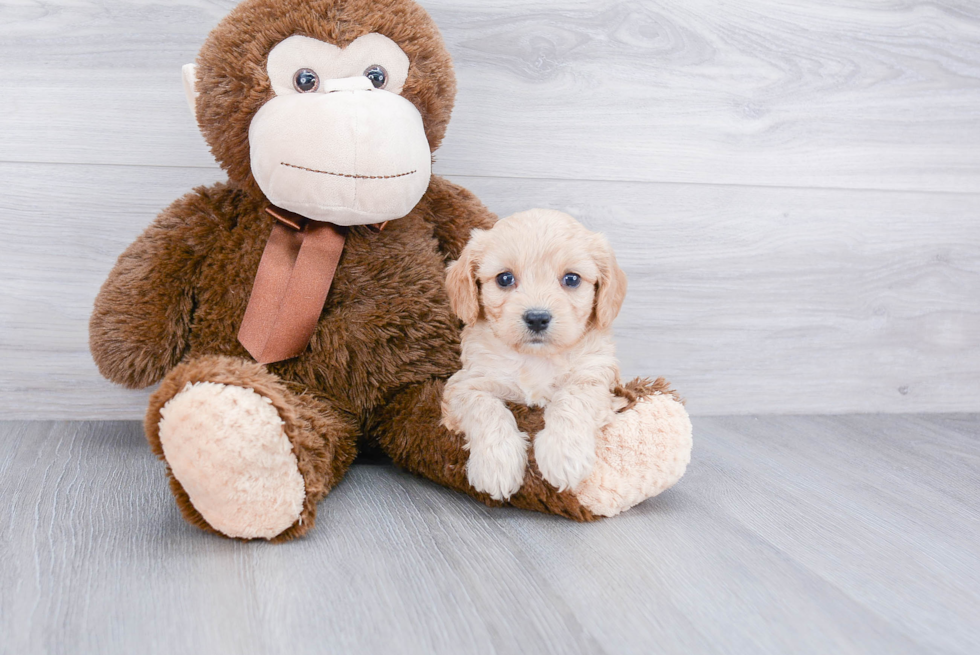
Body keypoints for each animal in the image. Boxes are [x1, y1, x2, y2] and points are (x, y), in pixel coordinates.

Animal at [438, 208, 624, 500]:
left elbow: (572, 399)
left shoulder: (594, 376)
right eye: (504, 278)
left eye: (572, 279)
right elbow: (486, 408)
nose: (537, 318)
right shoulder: (464, 384)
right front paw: (497, 463)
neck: (535, 359)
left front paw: (564, 454)